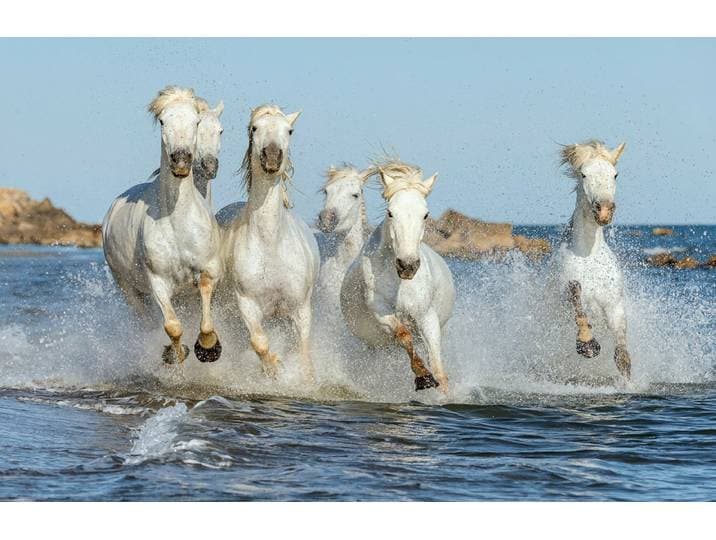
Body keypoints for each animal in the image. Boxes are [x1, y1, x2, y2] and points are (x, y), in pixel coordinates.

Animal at [102, 86, 223, 365]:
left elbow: (205, 312)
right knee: (146, 321)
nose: (181, 160)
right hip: (129, 290)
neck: (178, 221)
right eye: (162, 121)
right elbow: (172, 326)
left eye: (196, 121)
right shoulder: (157, 282)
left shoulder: (208, 271)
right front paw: (175, 353)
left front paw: (209, 346)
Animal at [216, 104, 320, 382]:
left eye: (289, 130)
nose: (272, 157)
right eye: (255, 128)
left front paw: (304, 379)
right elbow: (258, 341)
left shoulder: (300, 309)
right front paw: (274, 367)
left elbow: (304, 351)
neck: (271, 243)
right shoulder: (247, 304)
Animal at [340, 160, 456, 392]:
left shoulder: (426, 316)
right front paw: (423, 376)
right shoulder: (381, 311)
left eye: (425, 214)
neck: (400, 283)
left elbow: (439, 368)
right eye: (390, 212)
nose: (408, 265)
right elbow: (403, 335)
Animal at [551, 140, 631, 380]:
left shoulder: (614, 305)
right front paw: (587, 344)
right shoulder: (567, 294)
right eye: (583, 174)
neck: (588, 254)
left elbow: (622, 355)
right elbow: (577, 302)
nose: (604, 210)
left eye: (615, 174)